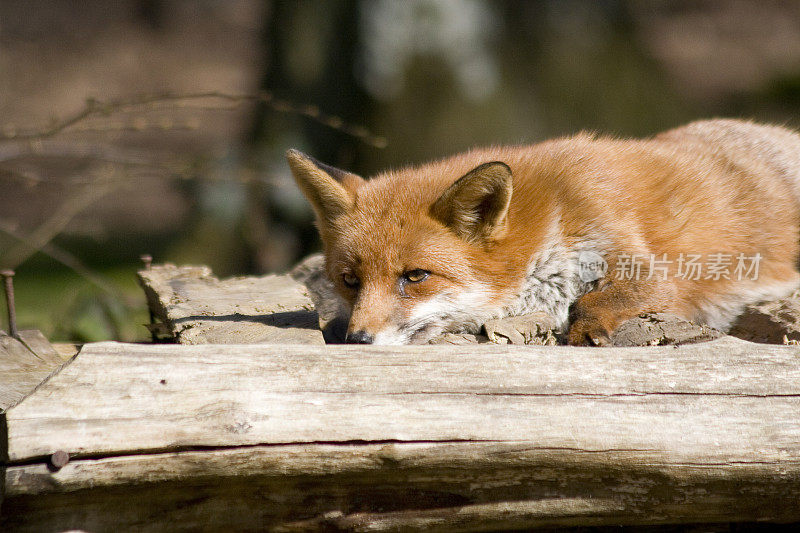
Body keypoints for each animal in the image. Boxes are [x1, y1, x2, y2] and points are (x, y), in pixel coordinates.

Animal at [288, 119, 800, 344]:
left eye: (415, 276)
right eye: (349, 281)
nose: (357, 341)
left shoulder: (643, 264)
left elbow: (602, 299)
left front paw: (587, 326)